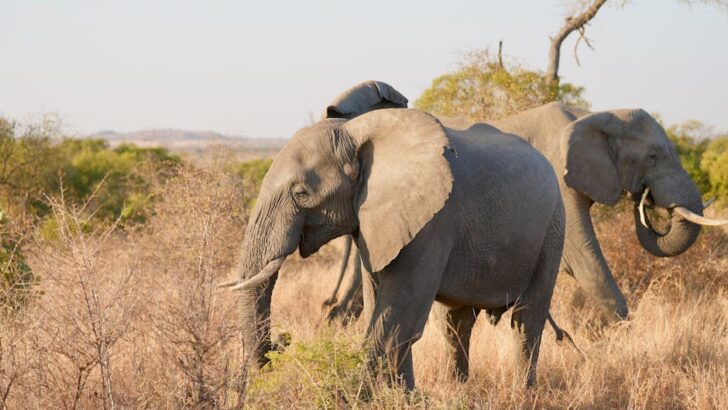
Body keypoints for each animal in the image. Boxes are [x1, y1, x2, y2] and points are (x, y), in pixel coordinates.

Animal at [222, 108, 566, 389]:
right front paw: (406, 398)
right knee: (456, 324)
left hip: (553, 227)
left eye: (302, 193)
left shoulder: (432, 222)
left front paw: (353, 396)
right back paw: (460, 387)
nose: (282, 341)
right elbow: (384, 310)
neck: (354, 133)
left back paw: (523, 394)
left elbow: (398, 321)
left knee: (526, 321)